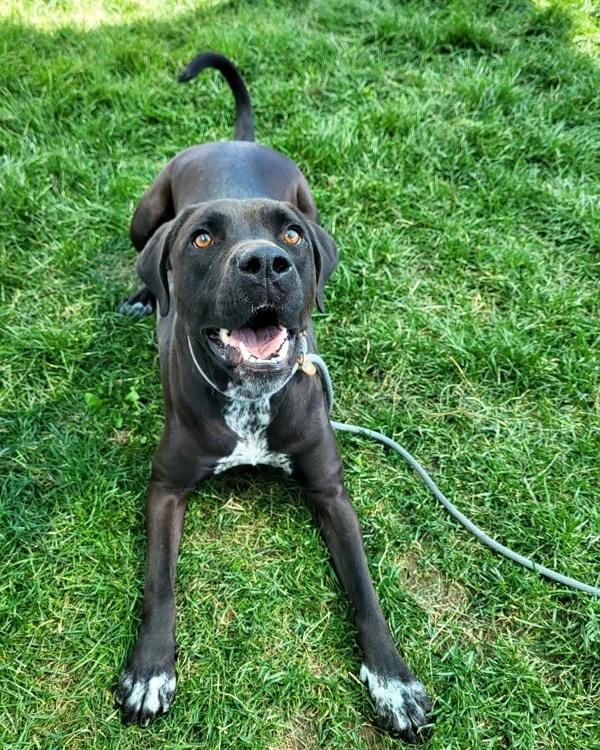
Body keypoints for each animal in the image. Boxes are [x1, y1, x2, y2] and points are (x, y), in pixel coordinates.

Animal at [115, 53, 428, 748]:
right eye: (203, 240)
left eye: (289, 237)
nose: (265, 263)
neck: (251, 399)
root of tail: (238, 140)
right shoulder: (166, 488)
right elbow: (158, 583)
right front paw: (149, 670)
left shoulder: (330, 491)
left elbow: (366, 593)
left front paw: (394, 682)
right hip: (145, 213)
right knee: (143, 257)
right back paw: (145, 294)